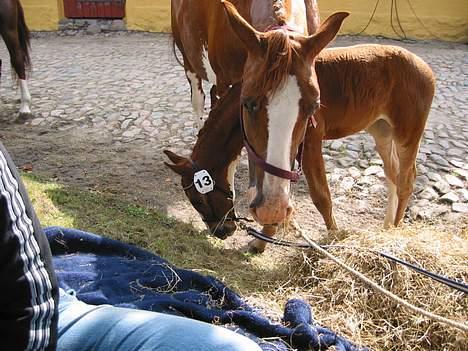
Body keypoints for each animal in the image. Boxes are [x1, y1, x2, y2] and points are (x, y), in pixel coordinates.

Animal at [165, 44, 436, 253]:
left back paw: (396, 230)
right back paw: (387, 226)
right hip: (381, 129)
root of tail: (425, 67)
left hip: (408, 133)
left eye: (197, 199)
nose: (221, 231)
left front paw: (333, 238)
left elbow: (321, 196)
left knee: (406, 180)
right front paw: (262, 240)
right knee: (392, 175)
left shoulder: (311, 142)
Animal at [171, 0, 348, 226]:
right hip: (189, 63)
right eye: (247, 104)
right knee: (198, 101)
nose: (272, 208)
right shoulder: (227, 84)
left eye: (314, 106)